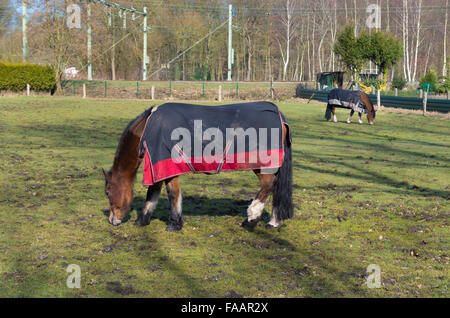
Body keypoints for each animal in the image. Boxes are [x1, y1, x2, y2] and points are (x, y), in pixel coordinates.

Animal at [102, 103, 294, 231]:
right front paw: (143, 220)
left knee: (269, 185)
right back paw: (274, 222)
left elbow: (172, 194)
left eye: (108, 192)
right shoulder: (159, 166)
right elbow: (154, 193)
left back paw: (252, 218)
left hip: (262, 165)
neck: (150, 129)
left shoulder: (165, 165)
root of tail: (279, 114)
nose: (112, 220)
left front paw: (174, 223)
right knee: (277, 188)